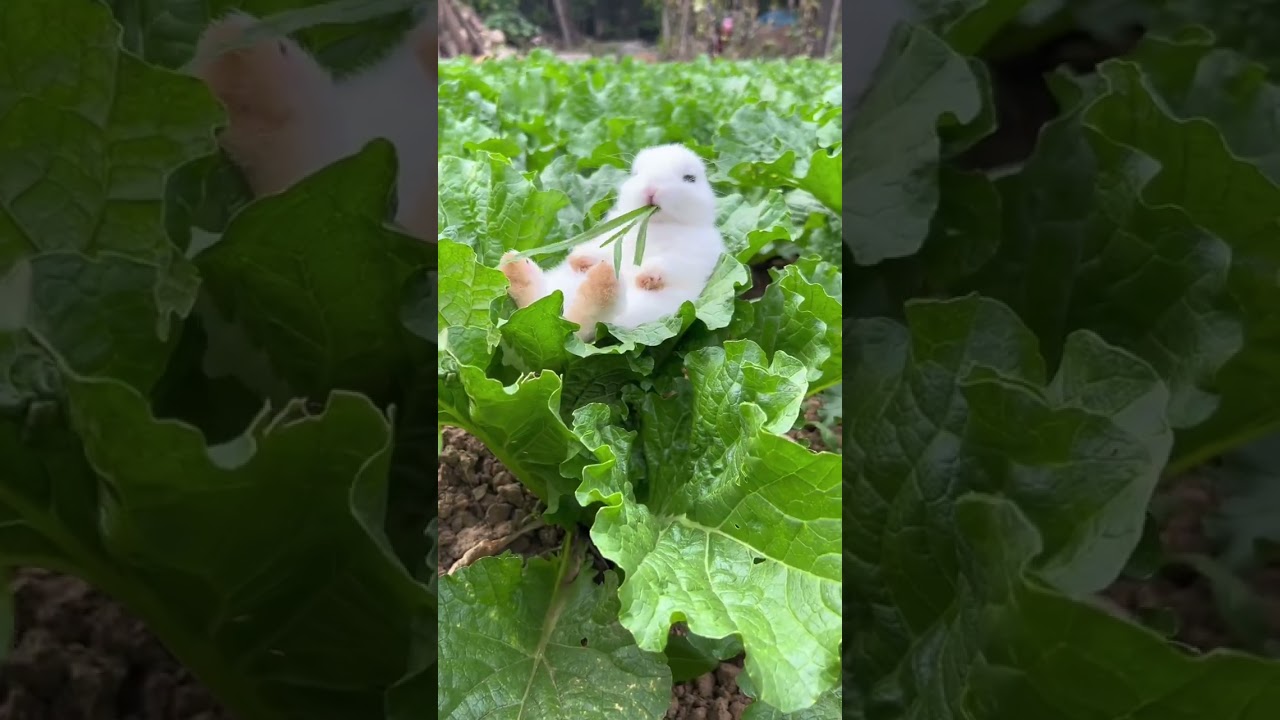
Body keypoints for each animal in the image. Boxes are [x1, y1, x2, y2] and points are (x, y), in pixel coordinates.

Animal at [500, 143, 726, 341]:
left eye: (690, 178)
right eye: (636, 174)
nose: (651, 190)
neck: (654, 225)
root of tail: (558, 324)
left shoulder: (695, 255)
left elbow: (669, 265)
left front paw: (647, 278)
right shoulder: (610, 240)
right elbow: (599, 251)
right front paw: (580, 259)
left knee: (586, 319)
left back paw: (603, 279)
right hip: (550, 297)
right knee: (535, 303)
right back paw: (515, 265)